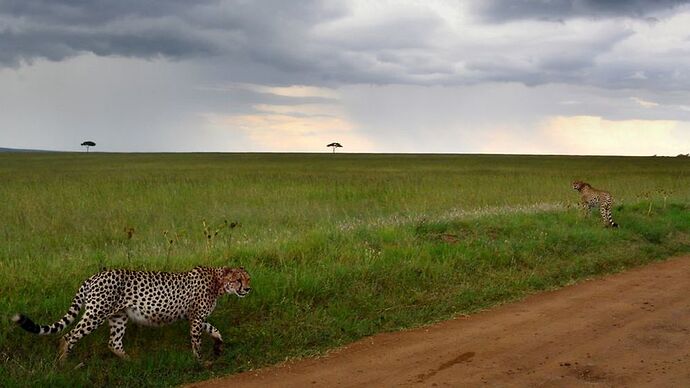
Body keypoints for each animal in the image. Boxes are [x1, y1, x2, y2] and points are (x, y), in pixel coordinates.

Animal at [13, 266, 251, 362]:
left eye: (248, 279)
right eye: (238, 280)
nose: (248, 289)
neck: (218, 281)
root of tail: (93, 276)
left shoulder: (195, 317)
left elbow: (215, 330)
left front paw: (218, 347)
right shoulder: (196, 318)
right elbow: (197, 341)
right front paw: (200, 361)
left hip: (118, 317)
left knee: (114, 343)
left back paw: (132, 361)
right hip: (96, 314)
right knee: (68, 336)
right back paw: (63, 364)